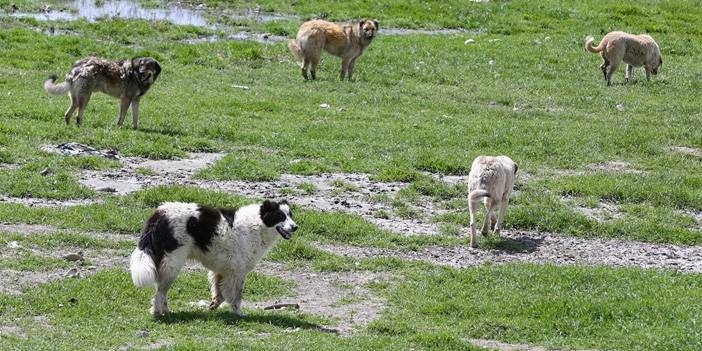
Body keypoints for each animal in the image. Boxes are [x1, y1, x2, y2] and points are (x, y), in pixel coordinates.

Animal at [129, 199, 296, 318]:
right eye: (281, 216)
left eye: (290, 215)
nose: (295, 227)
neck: (259, 224)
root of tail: (160, 213)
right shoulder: (237, 272)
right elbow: (236, 296)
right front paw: (238, 314)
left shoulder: (223, 270)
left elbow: (219, 294)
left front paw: (213, 306)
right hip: (173, 264)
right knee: (160, 293)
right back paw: (159, 313)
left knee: (160, 291)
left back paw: (165, 311)